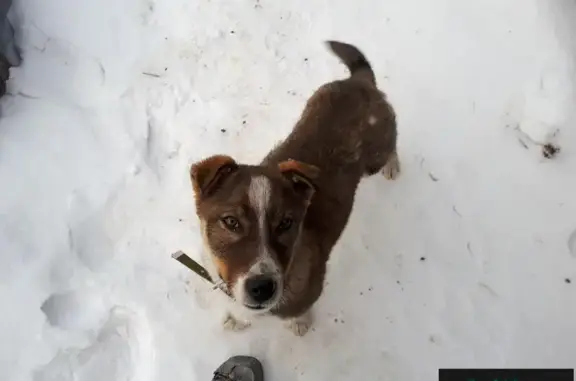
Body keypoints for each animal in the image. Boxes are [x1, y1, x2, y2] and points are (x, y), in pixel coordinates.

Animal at [191, 40, 398, 334]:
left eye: (286, 223)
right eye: (230, 221)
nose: (262, 288)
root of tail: (358, 81)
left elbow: (300, 311)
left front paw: (300, 323)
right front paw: (236, 318)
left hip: (376, 156)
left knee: (391, 148)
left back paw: (393, 166)